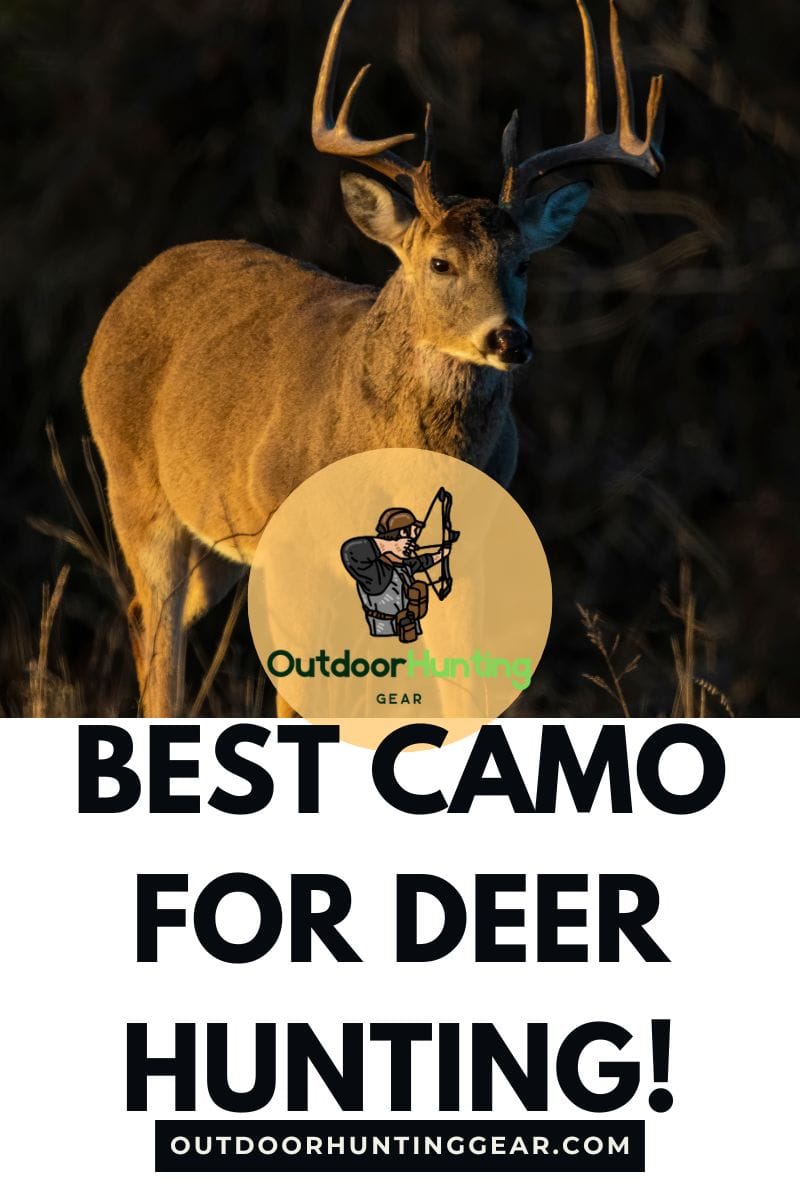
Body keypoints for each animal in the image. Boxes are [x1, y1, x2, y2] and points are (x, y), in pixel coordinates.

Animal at [82, 0, 664, 718]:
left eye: (523, 263)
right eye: (440, 263)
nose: (510, 339)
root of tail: (131, 291)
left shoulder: (463, 557)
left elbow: (462, 689)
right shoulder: (291, 546)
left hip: (213, 542)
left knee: (145, 618)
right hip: (136, 489)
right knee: (159, 635)